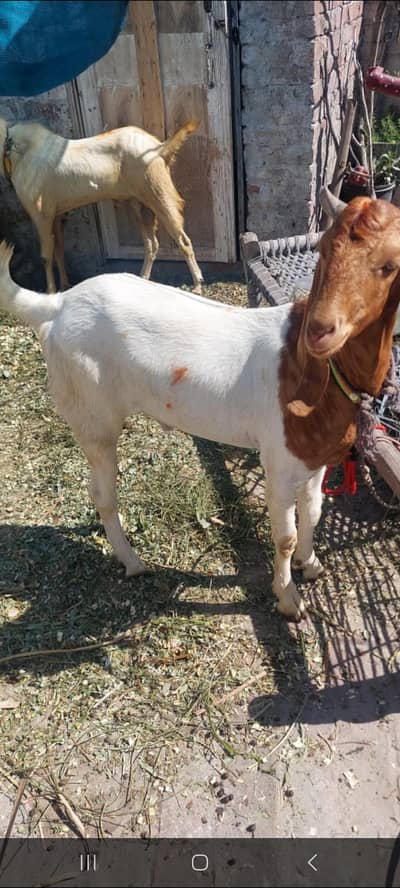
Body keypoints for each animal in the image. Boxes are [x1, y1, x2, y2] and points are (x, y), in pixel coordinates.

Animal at [0, 118, 203, 294]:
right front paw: (65, 285)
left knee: (183, 240)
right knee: (151, 244)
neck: (12, 149)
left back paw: (198, 285)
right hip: (138, 203)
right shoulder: (56, 213)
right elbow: (58, 251)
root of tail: (159, 148)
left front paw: (50, 291)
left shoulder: (41, 214)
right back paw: (143, 278)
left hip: (158, 194)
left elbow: (46, 257)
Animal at [1, 192, 400, 621]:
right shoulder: (277, 462)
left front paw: (310, 565)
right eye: (324, 250)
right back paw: (132, 560)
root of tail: (57, 305)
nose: (320, 331)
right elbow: (285, 537)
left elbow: (313, 514)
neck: (314, 370)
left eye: (389, 265)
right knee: (102, 490)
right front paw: (288, 598)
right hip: (92, 413)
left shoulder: (314, 457)